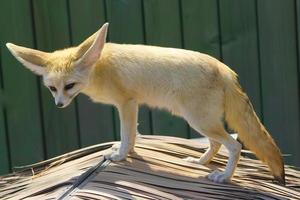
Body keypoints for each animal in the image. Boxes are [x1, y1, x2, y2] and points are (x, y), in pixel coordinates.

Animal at [5, 22, 284, 184]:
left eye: (69, 86)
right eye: (53, 89)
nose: (59, 104)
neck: (99, 67)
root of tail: (224, 68)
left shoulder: (126, 103)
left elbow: (126, 134)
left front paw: (119, 156)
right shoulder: (134, 104)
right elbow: (133, 136)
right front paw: (128, 153)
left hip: (200, 121)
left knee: (234, 145)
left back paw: (224, 177)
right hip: (201, 122)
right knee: (217, 144)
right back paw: (200, 163)